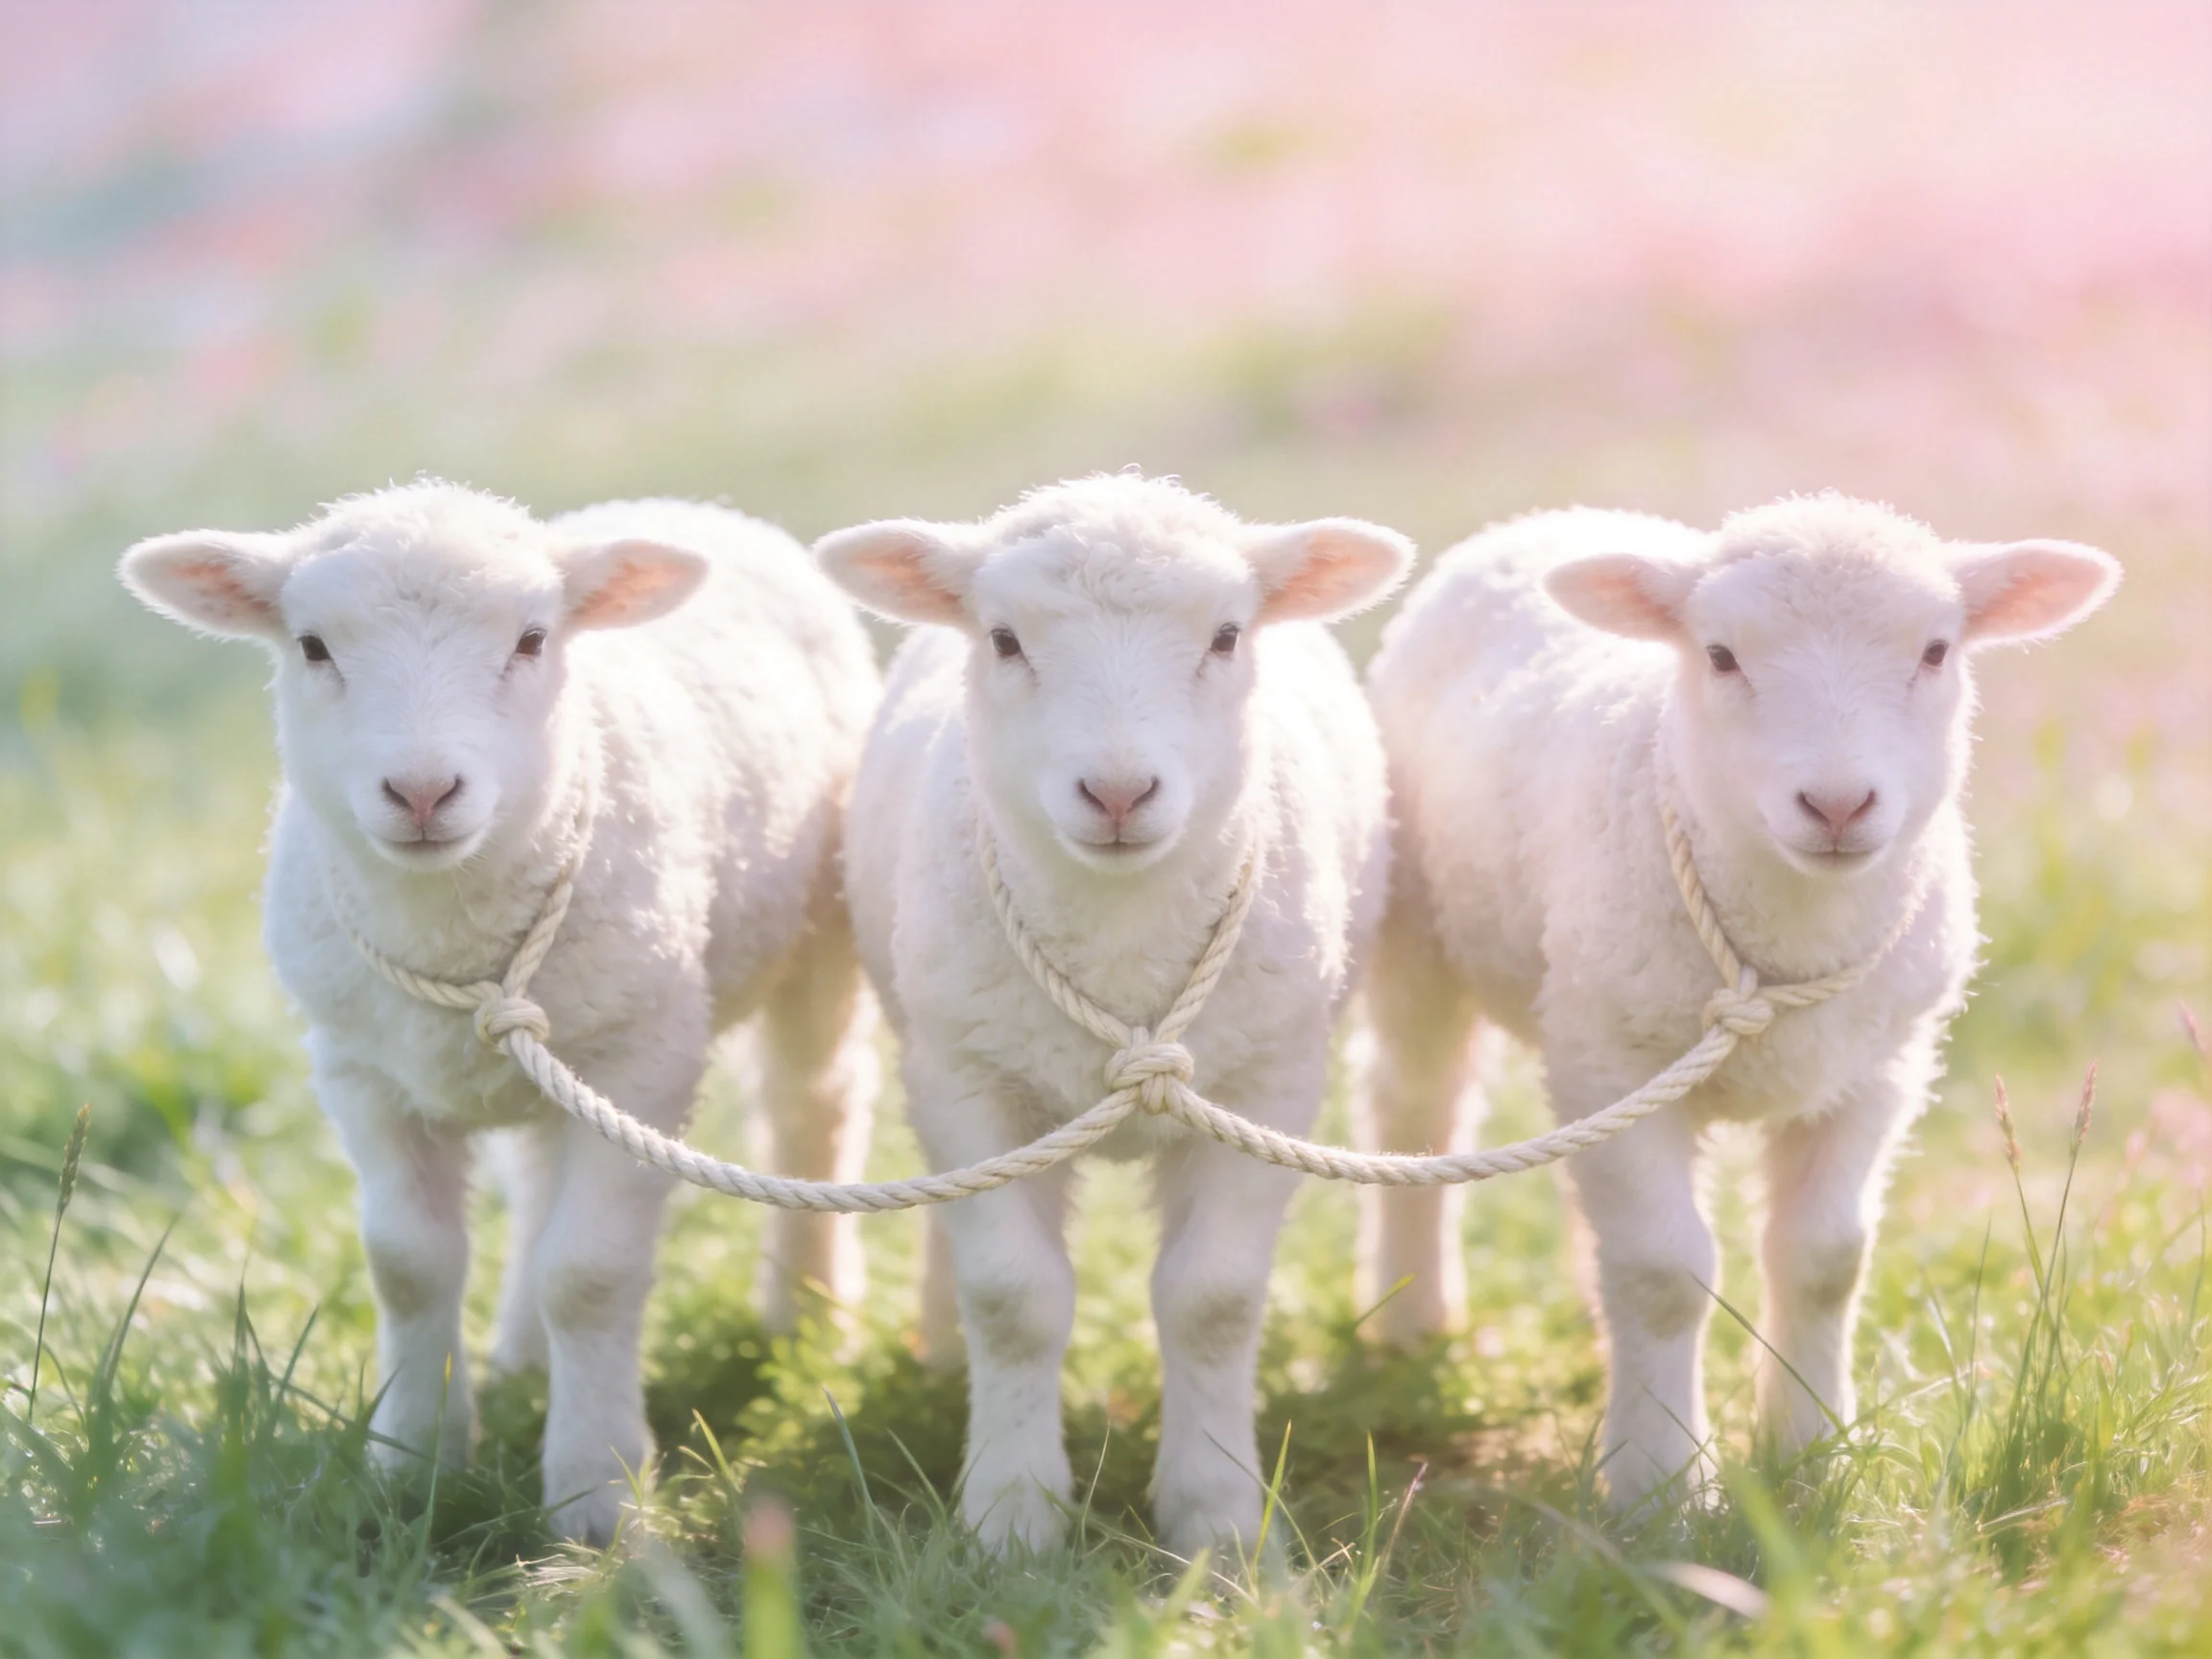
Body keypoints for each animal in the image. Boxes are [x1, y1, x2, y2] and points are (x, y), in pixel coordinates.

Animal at [118, 481, 881, 1542]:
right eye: (311, 646)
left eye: (530, 639)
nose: (422, 789)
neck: (449, 929)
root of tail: (687, 503)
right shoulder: (360, 1069)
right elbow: (408, 1264)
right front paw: (413, 1464)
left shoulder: (646, 1055)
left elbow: (591, 1274)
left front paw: (596, 1493)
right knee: (538, 1176)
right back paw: (524, 1351)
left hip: (813, 936)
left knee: (814, 1104)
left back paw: (807, 1318)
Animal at [817, 474, 1409, 1557]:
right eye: (1004, 639)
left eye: (1227, 634)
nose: (1120, 791)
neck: (1122, 939)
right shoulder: (969, 1081)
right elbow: (1013, 1297)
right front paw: (1010, 1517)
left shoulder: (1266, 1084)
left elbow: (1213, 1299)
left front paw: (1218, 1520)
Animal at [1360, 493, 2119, 1508]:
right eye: (1720, 656)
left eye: (1935, 651)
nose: (1836, 805)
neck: (1792, 938)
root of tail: (1548, 516)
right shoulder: (1618, 1058)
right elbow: (1663, 1273)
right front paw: (1662, 1485)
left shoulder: (1874, 1070)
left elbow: (1825, 1260)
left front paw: (1811, 1449)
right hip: (1421, 939)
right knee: (1417, 1107)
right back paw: (1413, 1318)